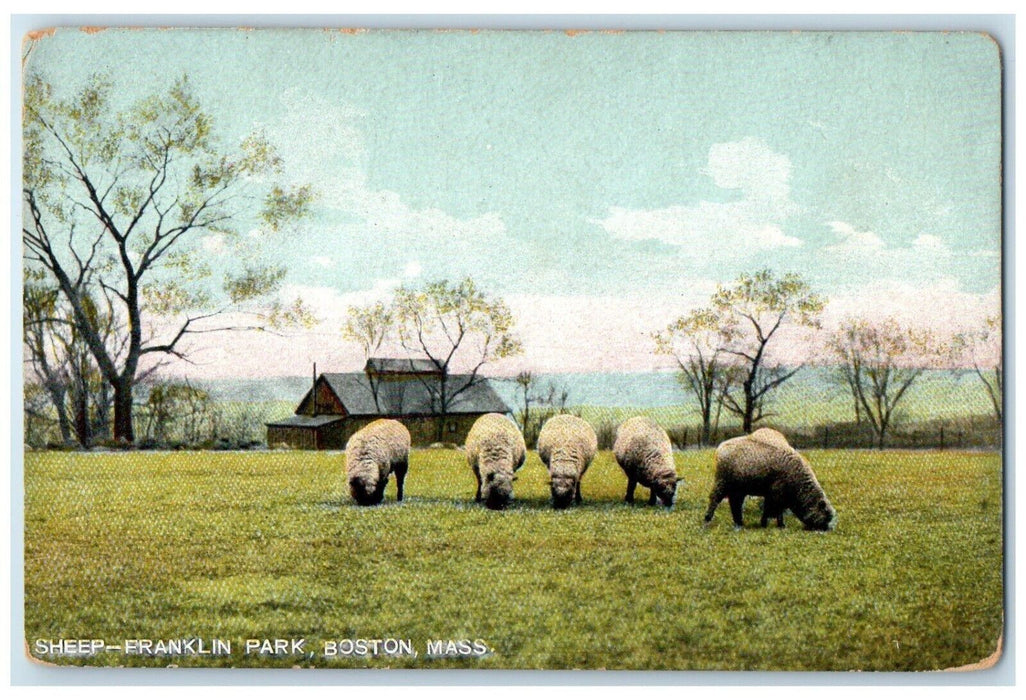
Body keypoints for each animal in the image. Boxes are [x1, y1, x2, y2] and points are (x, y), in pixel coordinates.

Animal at [701, 424, 837, 529]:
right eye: (825, 514)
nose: (827, 529)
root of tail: (721, 447)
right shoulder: (776, 493)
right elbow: (774, 510)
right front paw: (774, 524)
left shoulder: (773, 494)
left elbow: (772, 509)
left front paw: (772, 524)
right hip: (722, 481)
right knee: (715, 498)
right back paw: (707, 519)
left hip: (738, 488)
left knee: (735, 503)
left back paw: (739, 522)